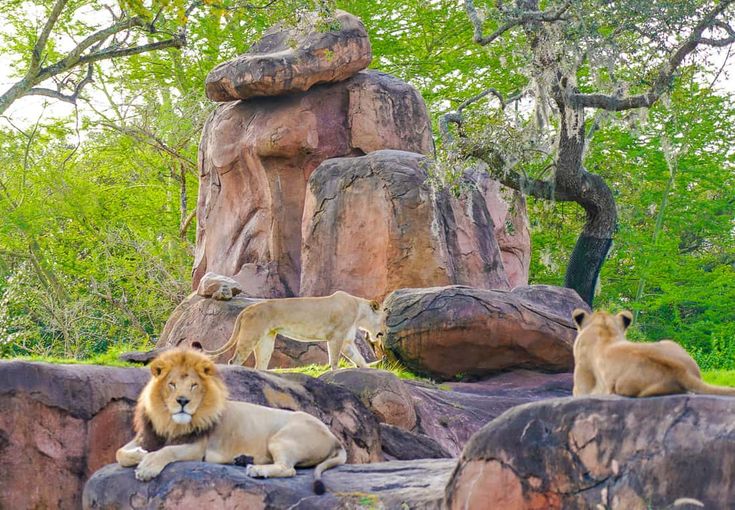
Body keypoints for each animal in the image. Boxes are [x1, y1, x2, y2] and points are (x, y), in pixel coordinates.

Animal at [118, 348, 348, 492]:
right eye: (172, 384)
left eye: (194, 385)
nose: (182, 401)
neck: (170, 422)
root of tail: (334, 438)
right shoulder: (147, 436)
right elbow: (120, 453)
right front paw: (139, 455)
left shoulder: (197, 448)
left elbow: (168, 451)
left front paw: (147, 466)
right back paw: (244, 459)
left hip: (282, 438)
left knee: (288, 469)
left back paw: (256, 470)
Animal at [206, 290, 386, 370]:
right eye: (385, 318)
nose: (383, 332)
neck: (359, 313)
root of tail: (247, 309)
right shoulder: (336, 336)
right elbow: (334, 360)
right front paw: (336, 372)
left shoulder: (347, 341)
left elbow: (358, 358)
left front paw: (367, 369)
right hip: (250, 336)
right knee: (234, 360)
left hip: (266, 340)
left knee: (261, 364)